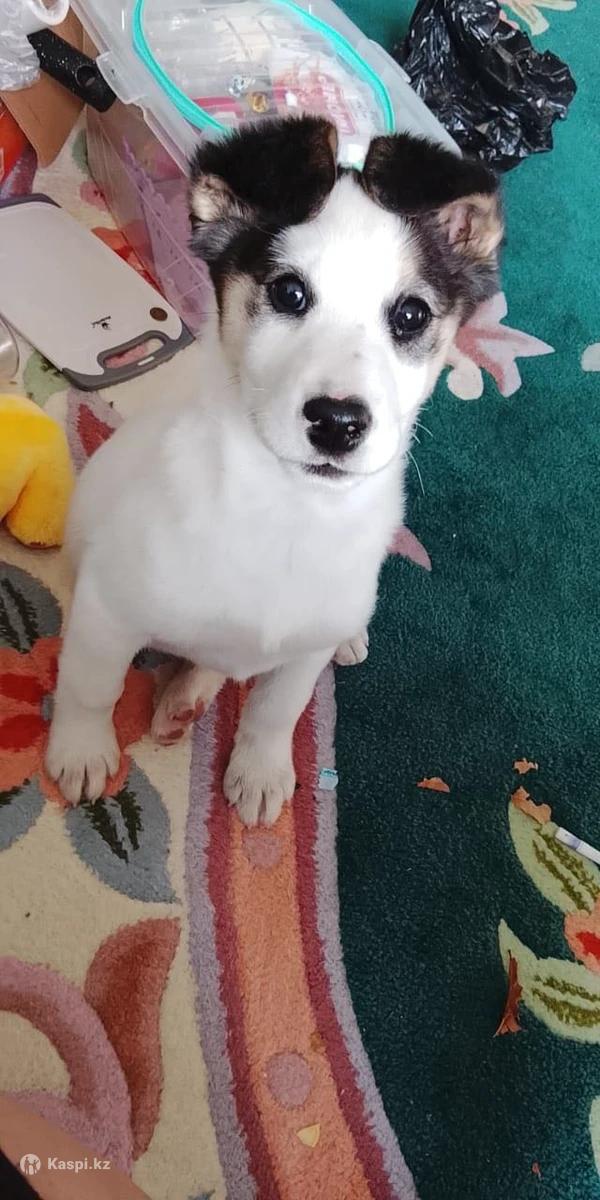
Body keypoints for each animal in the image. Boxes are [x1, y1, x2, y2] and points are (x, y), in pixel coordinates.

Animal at [45, 116, 502, 825]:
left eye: (411, 315)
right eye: (289, 293)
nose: (337, 422)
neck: (290, 511)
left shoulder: (300, 657)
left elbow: (276, 710)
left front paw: (260, 769)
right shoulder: (108, 606)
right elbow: (92, 684)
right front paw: (83, 750)